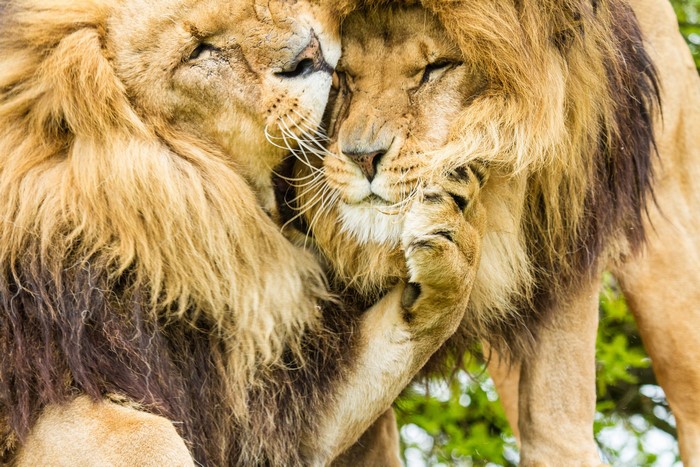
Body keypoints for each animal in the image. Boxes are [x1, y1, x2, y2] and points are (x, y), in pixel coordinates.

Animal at [0, 0, 487, 465]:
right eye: (198, 51)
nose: (310, 55)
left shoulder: (271, 402)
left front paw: (455, 225)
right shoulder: (58, 388)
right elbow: (143, 438)